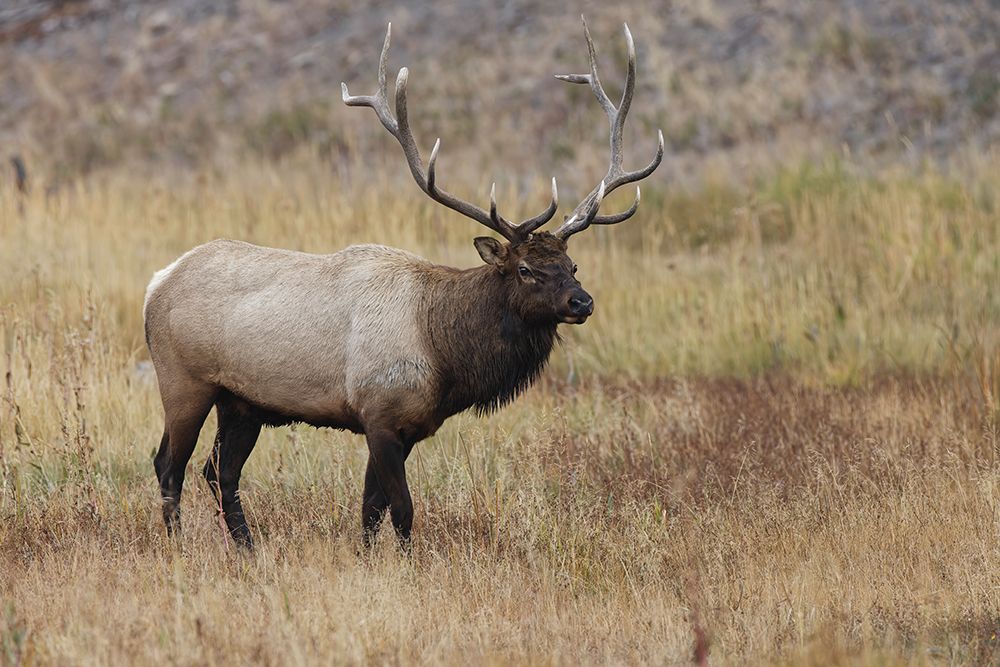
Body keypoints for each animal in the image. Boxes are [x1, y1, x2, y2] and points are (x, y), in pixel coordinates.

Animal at [143, 17, 663, 550]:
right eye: (524, 269)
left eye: (572, 265)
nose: (582, 302)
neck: (445, 356)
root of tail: (157, 282)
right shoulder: (379, 413)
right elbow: (402, 510)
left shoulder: (408, 426)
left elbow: (371, 510)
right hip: (184, 380)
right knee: (169, 464)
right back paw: (178, 545)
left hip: (243, 402)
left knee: (218, 471)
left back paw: (248, 549)